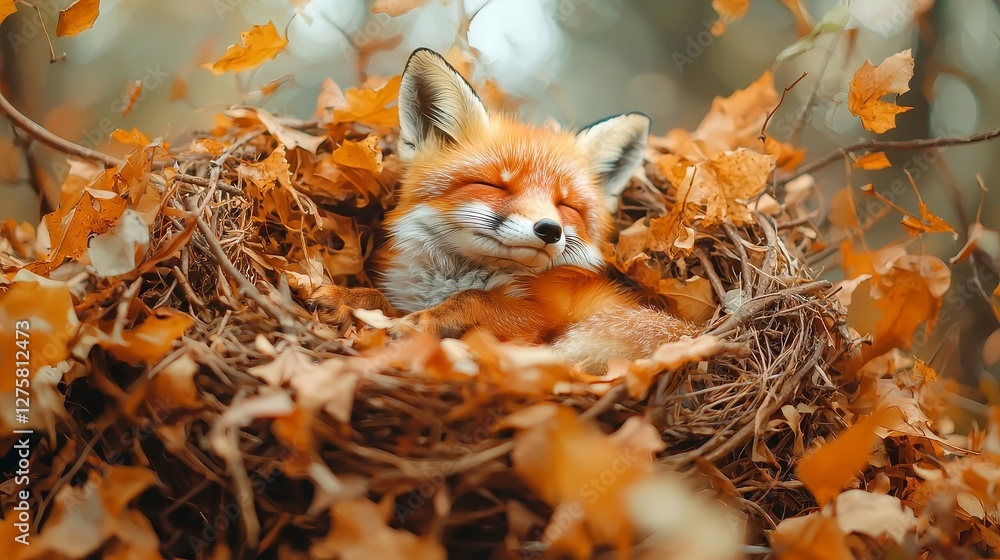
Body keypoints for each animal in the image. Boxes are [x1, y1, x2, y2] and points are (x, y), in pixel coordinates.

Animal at [308, 48, 698, 373]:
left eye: (566, 205)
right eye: (494, 186)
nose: (549, 229)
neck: (451, 279)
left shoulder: (545, 314)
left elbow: (475, 300)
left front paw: (424, 321)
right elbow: (378, 301)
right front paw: (347, 297)